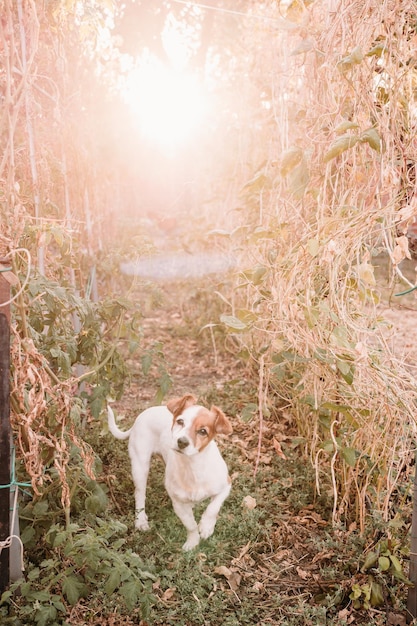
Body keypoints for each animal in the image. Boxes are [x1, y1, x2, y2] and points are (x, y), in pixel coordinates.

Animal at [105, 392, 232, 548]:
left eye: (203, 431)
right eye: (180, 421)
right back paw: (141, 520)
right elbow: (191, 525)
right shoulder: (178, 504)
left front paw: (206, 526)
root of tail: (145, 413)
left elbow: (213, 508)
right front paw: (192, 542)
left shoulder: (226, 486)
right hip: (140, 466)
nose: (182, 442)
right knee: (139, 494)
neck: (192, 468)